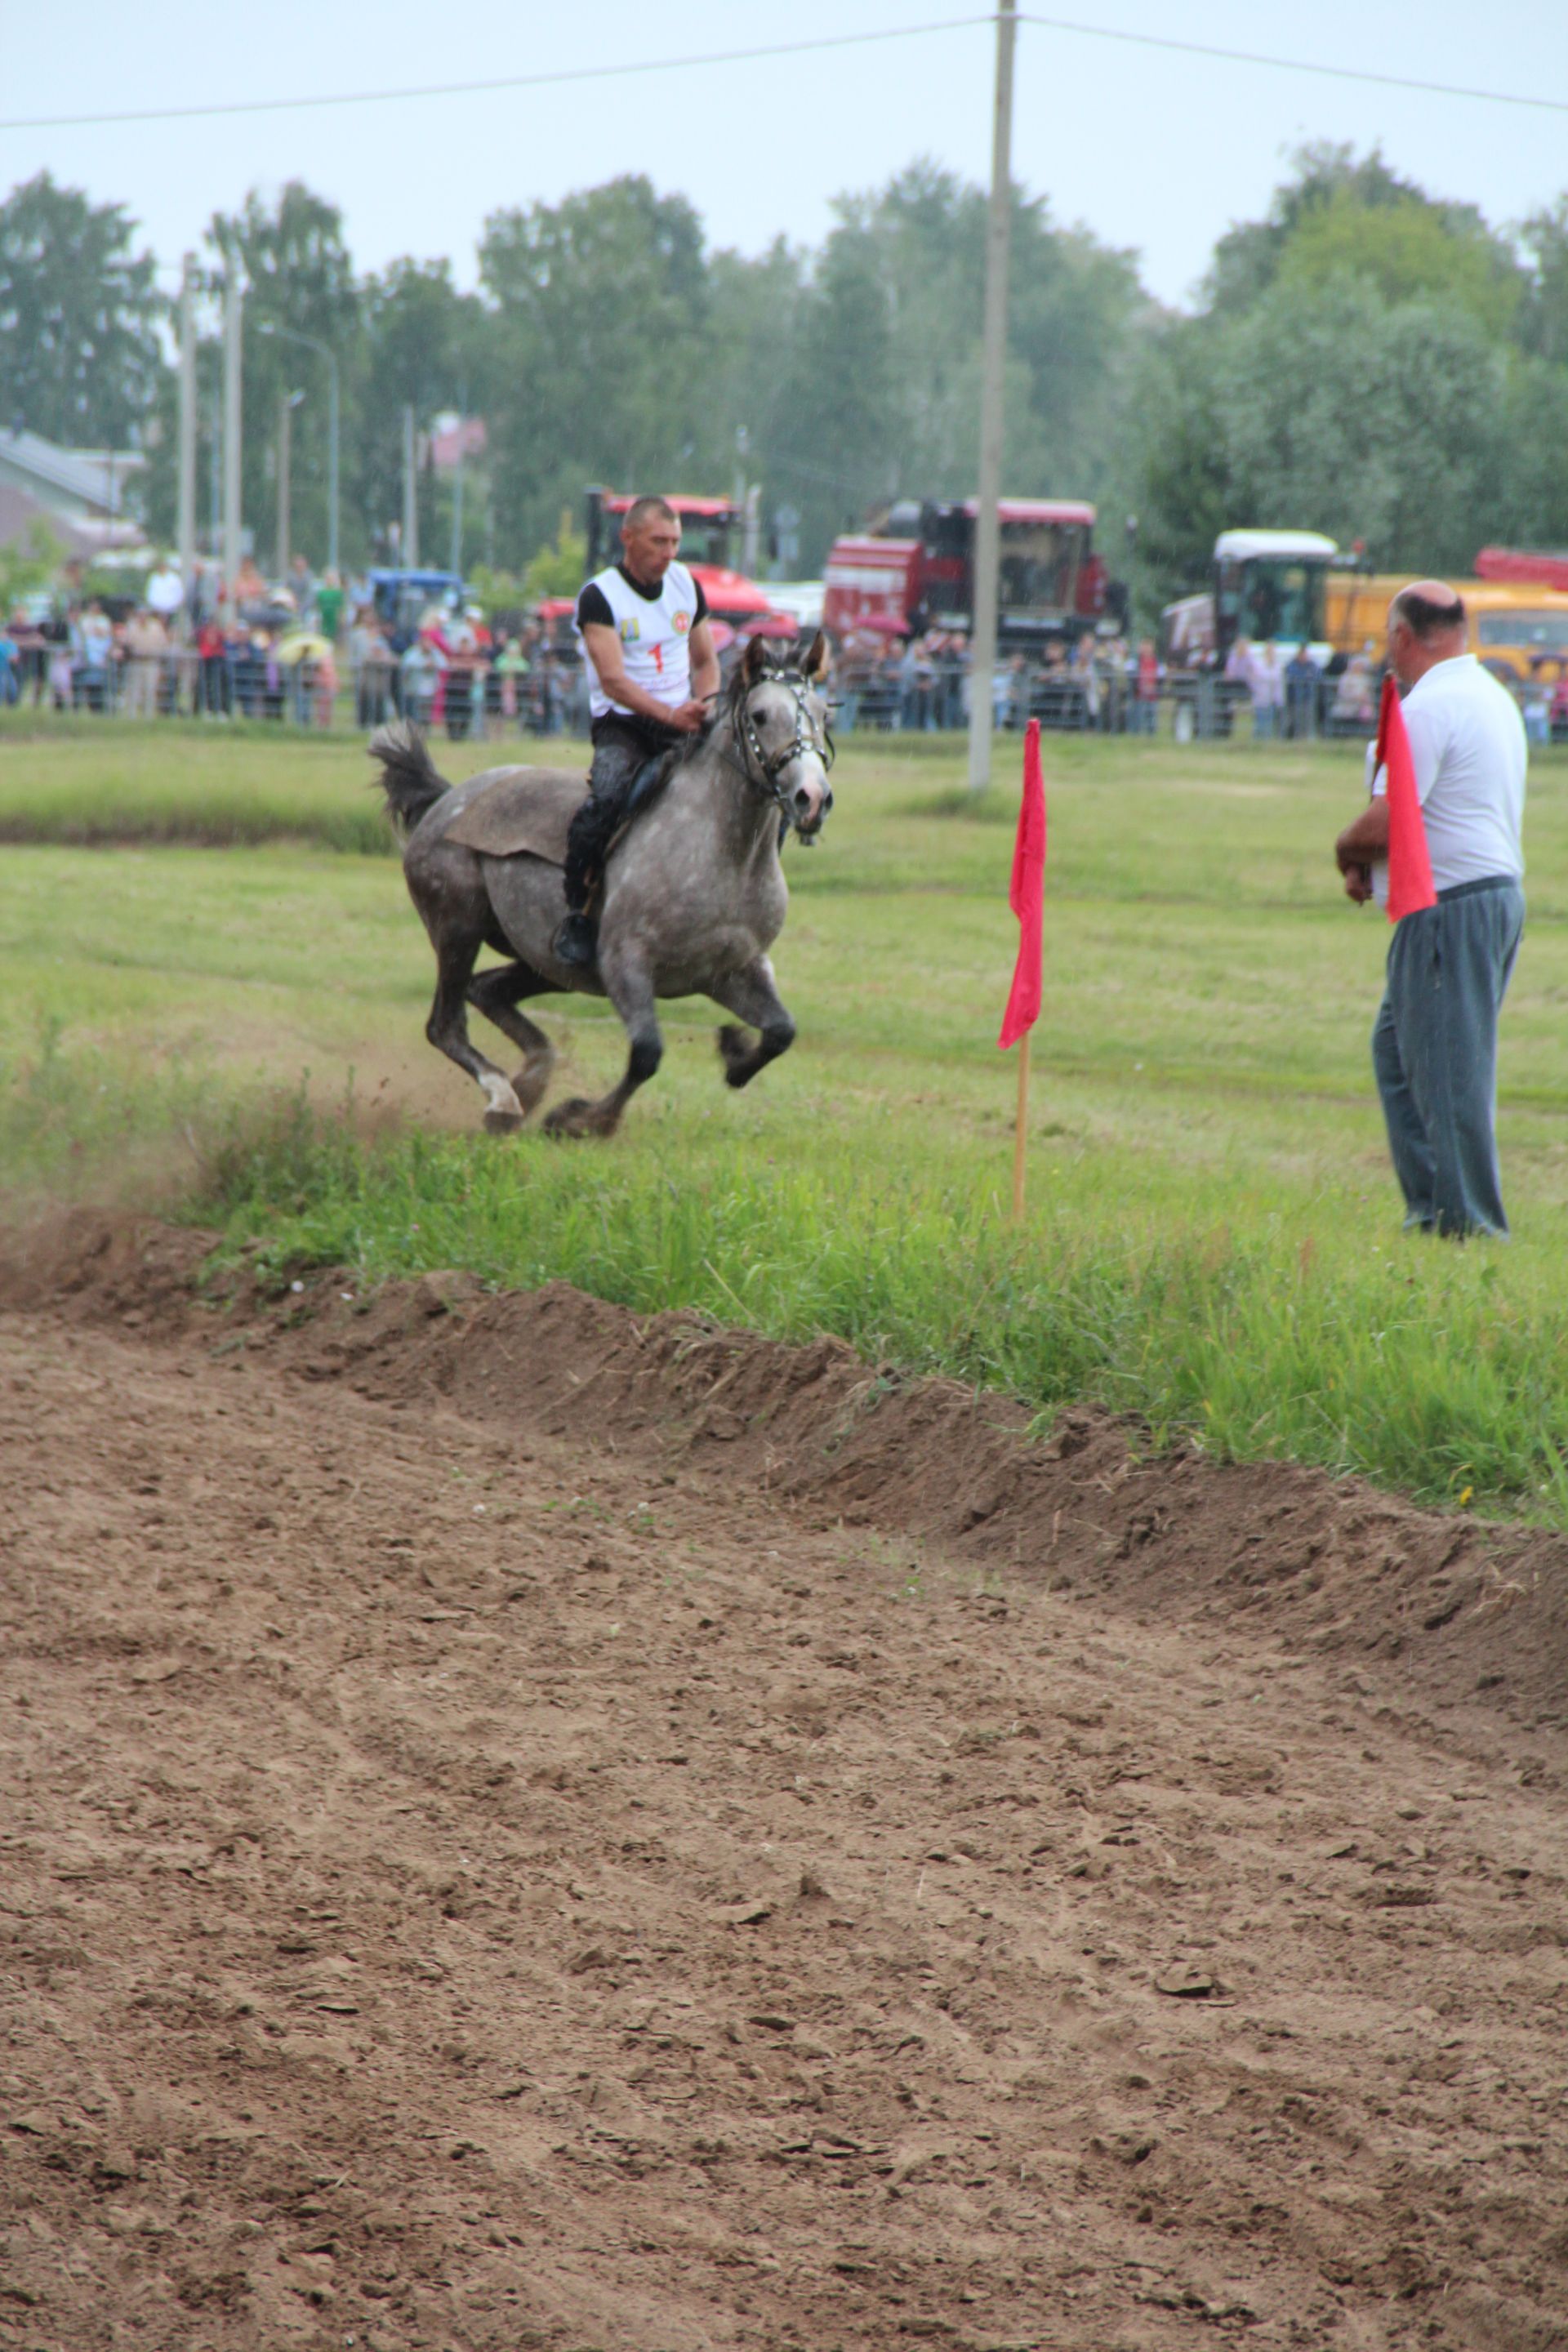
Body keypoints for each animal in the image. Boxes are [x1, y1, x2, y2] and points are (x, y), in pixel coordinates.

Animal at [371, 630, 832, 1134]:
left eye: (825, 713)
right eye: (760, 715)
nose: (813, 798)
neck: (724, 857)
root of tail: (447, 800)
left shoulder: (735, 970)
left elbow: (781, 1031)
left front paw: (733, 1052)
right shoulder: (625, 963)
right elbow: (647, 1053)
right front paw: (581, 1121)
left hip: (545, 962)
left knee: (486, 990)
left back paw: (530, 1081)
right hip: (458, 927)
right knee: (446, 1025)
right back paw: (504, 1099)